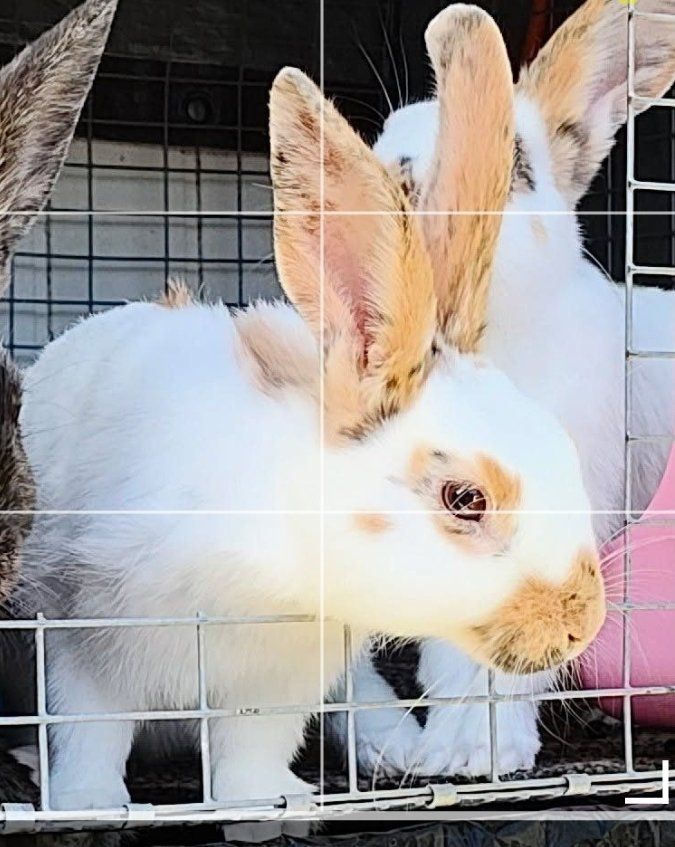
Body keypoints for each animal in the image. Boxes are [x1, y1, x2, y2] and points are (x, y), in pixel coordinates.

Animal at [11, 6, 605, 812]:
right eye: (465, 498)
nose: (581, 622)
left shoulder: (271, 688)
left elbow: (249, 756)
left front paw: (266, 803)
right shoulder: (85, 633)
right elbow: (88, 731)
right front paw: (92, 805)